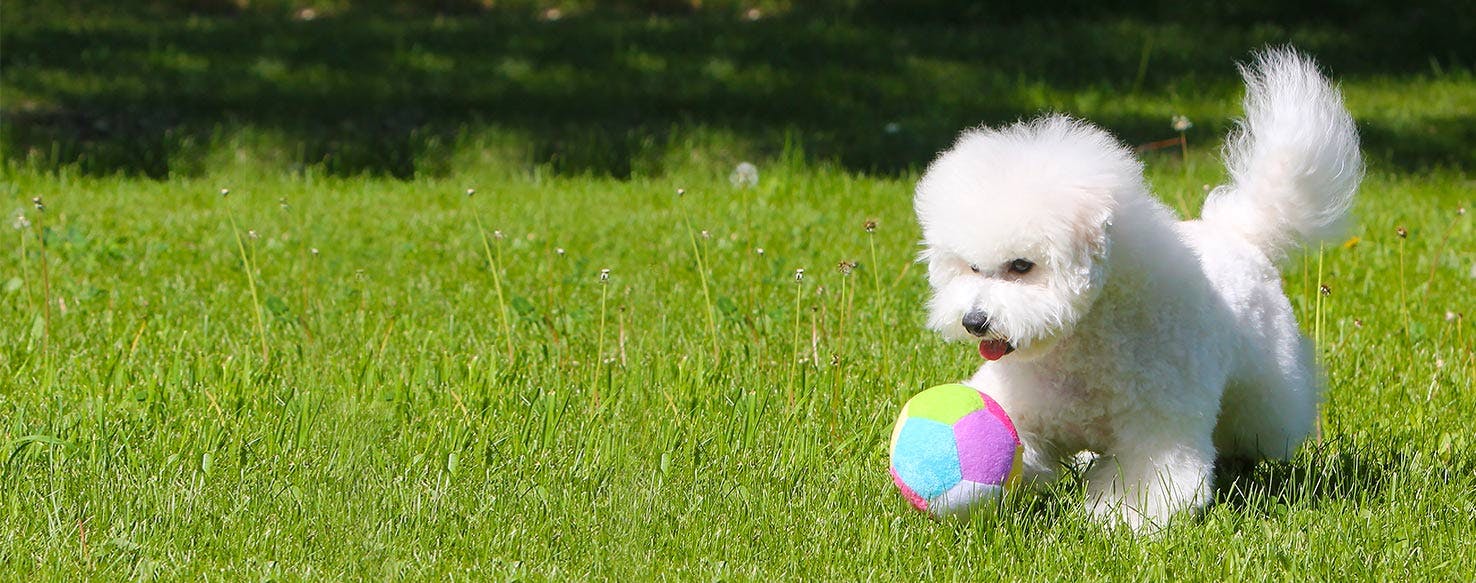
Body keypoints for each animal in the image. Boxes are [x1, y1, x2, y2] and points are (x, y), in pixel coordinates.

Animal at [915, 49, 1363, 534]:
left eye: (1021, 266)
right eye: (972, 267)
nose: (974, 322)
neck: (1084, 343)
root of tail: (1239, 231)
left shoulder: (1158, 428)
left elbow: (1151, 478)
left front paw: (1122, 519)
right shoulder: (1024, 411)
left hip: (1265, 385)